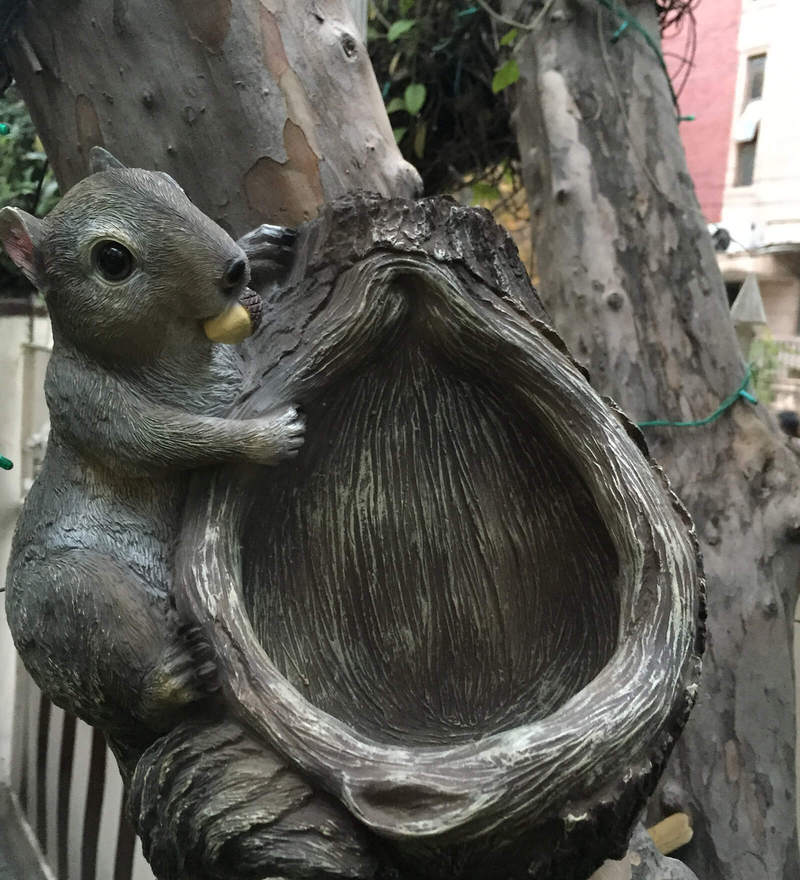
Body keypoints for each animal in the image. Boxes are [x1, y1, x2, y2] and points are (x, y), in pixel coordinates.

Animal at [0, 147, 305, 760]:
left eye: (174, 187)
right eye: (112, 260)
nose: (234, 269)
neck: (176, 348)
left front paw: (261, 245)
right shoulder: (79, 396)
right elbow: (164, 438)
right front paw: (266, 436)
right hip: (77, 597)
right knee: (130, 694)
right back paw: (171, 682)